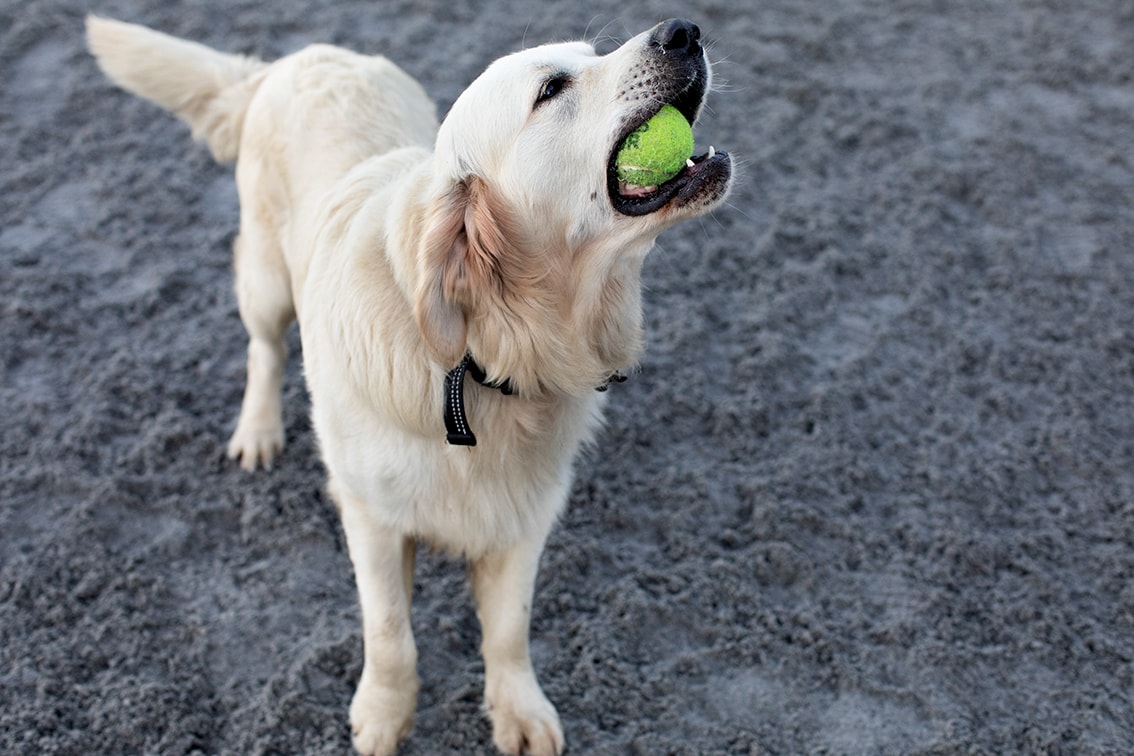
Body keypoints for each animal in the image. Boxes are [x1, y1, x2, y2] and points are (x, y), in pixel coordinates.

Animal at [83, 14, 730, 752]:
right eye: (551, 88)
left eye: (591, 55)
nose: (683, 29)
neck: (488, 356)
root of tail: (300, 58)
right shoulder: (372, 516)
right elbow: (390, 630)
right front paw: (385, 713)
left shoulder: (525, 518)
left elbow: (509, 630)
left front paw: (518, 708)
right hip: (267, 282)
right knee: (263, 348)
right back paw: (258, 429)